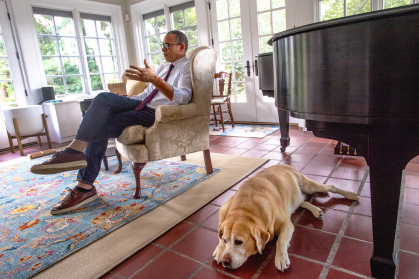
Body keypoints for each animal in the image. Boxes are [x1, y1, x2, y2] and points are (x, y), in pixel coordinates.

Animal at [215, 165, 360, 272]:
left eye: (238, 242)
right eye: (226, 240)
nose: (225, 261)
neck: (245, 208)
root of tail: (284, 164)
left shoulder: (287, 225)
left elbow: (281, 241)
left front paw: (281, 258)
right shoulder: (223, 212)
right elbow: (219, 233)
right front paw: (220, 249)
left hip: (309, 186)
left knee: (331, 187)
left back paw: (350, 194)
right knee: (302, 201)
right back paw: (316, 211)